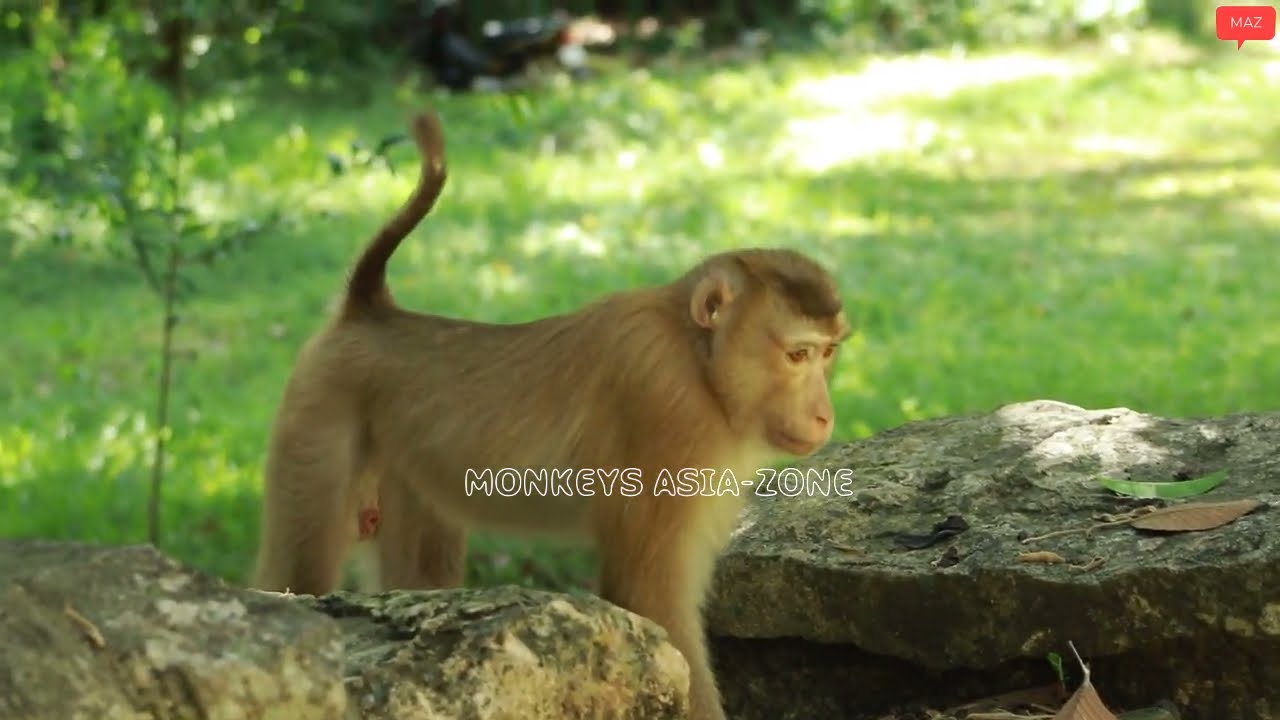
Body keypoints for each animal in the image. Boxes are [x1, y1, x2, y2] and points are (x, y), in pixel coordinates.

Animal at [252, 108, 849, 720]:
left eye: (828, 353)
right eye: (797, 355)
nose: (823, 415)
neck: (698, 364)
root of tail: (366, 312)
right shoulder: (666, 410)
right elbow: (651, 594)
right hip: (317, 419)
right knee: (301, 574)